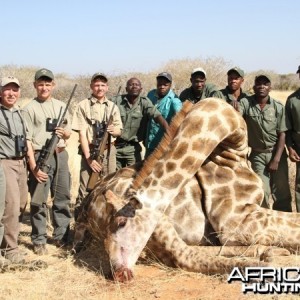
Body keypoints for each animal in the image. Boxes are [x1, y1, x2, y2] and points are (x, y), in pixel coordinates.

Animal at [74, 98, 294, 282]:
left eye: (121, 222)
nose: (118, 273)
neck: (233, 154)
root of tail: (86, 211)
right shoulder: (237, 221)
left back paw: (273, 253)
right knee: (186, 256)